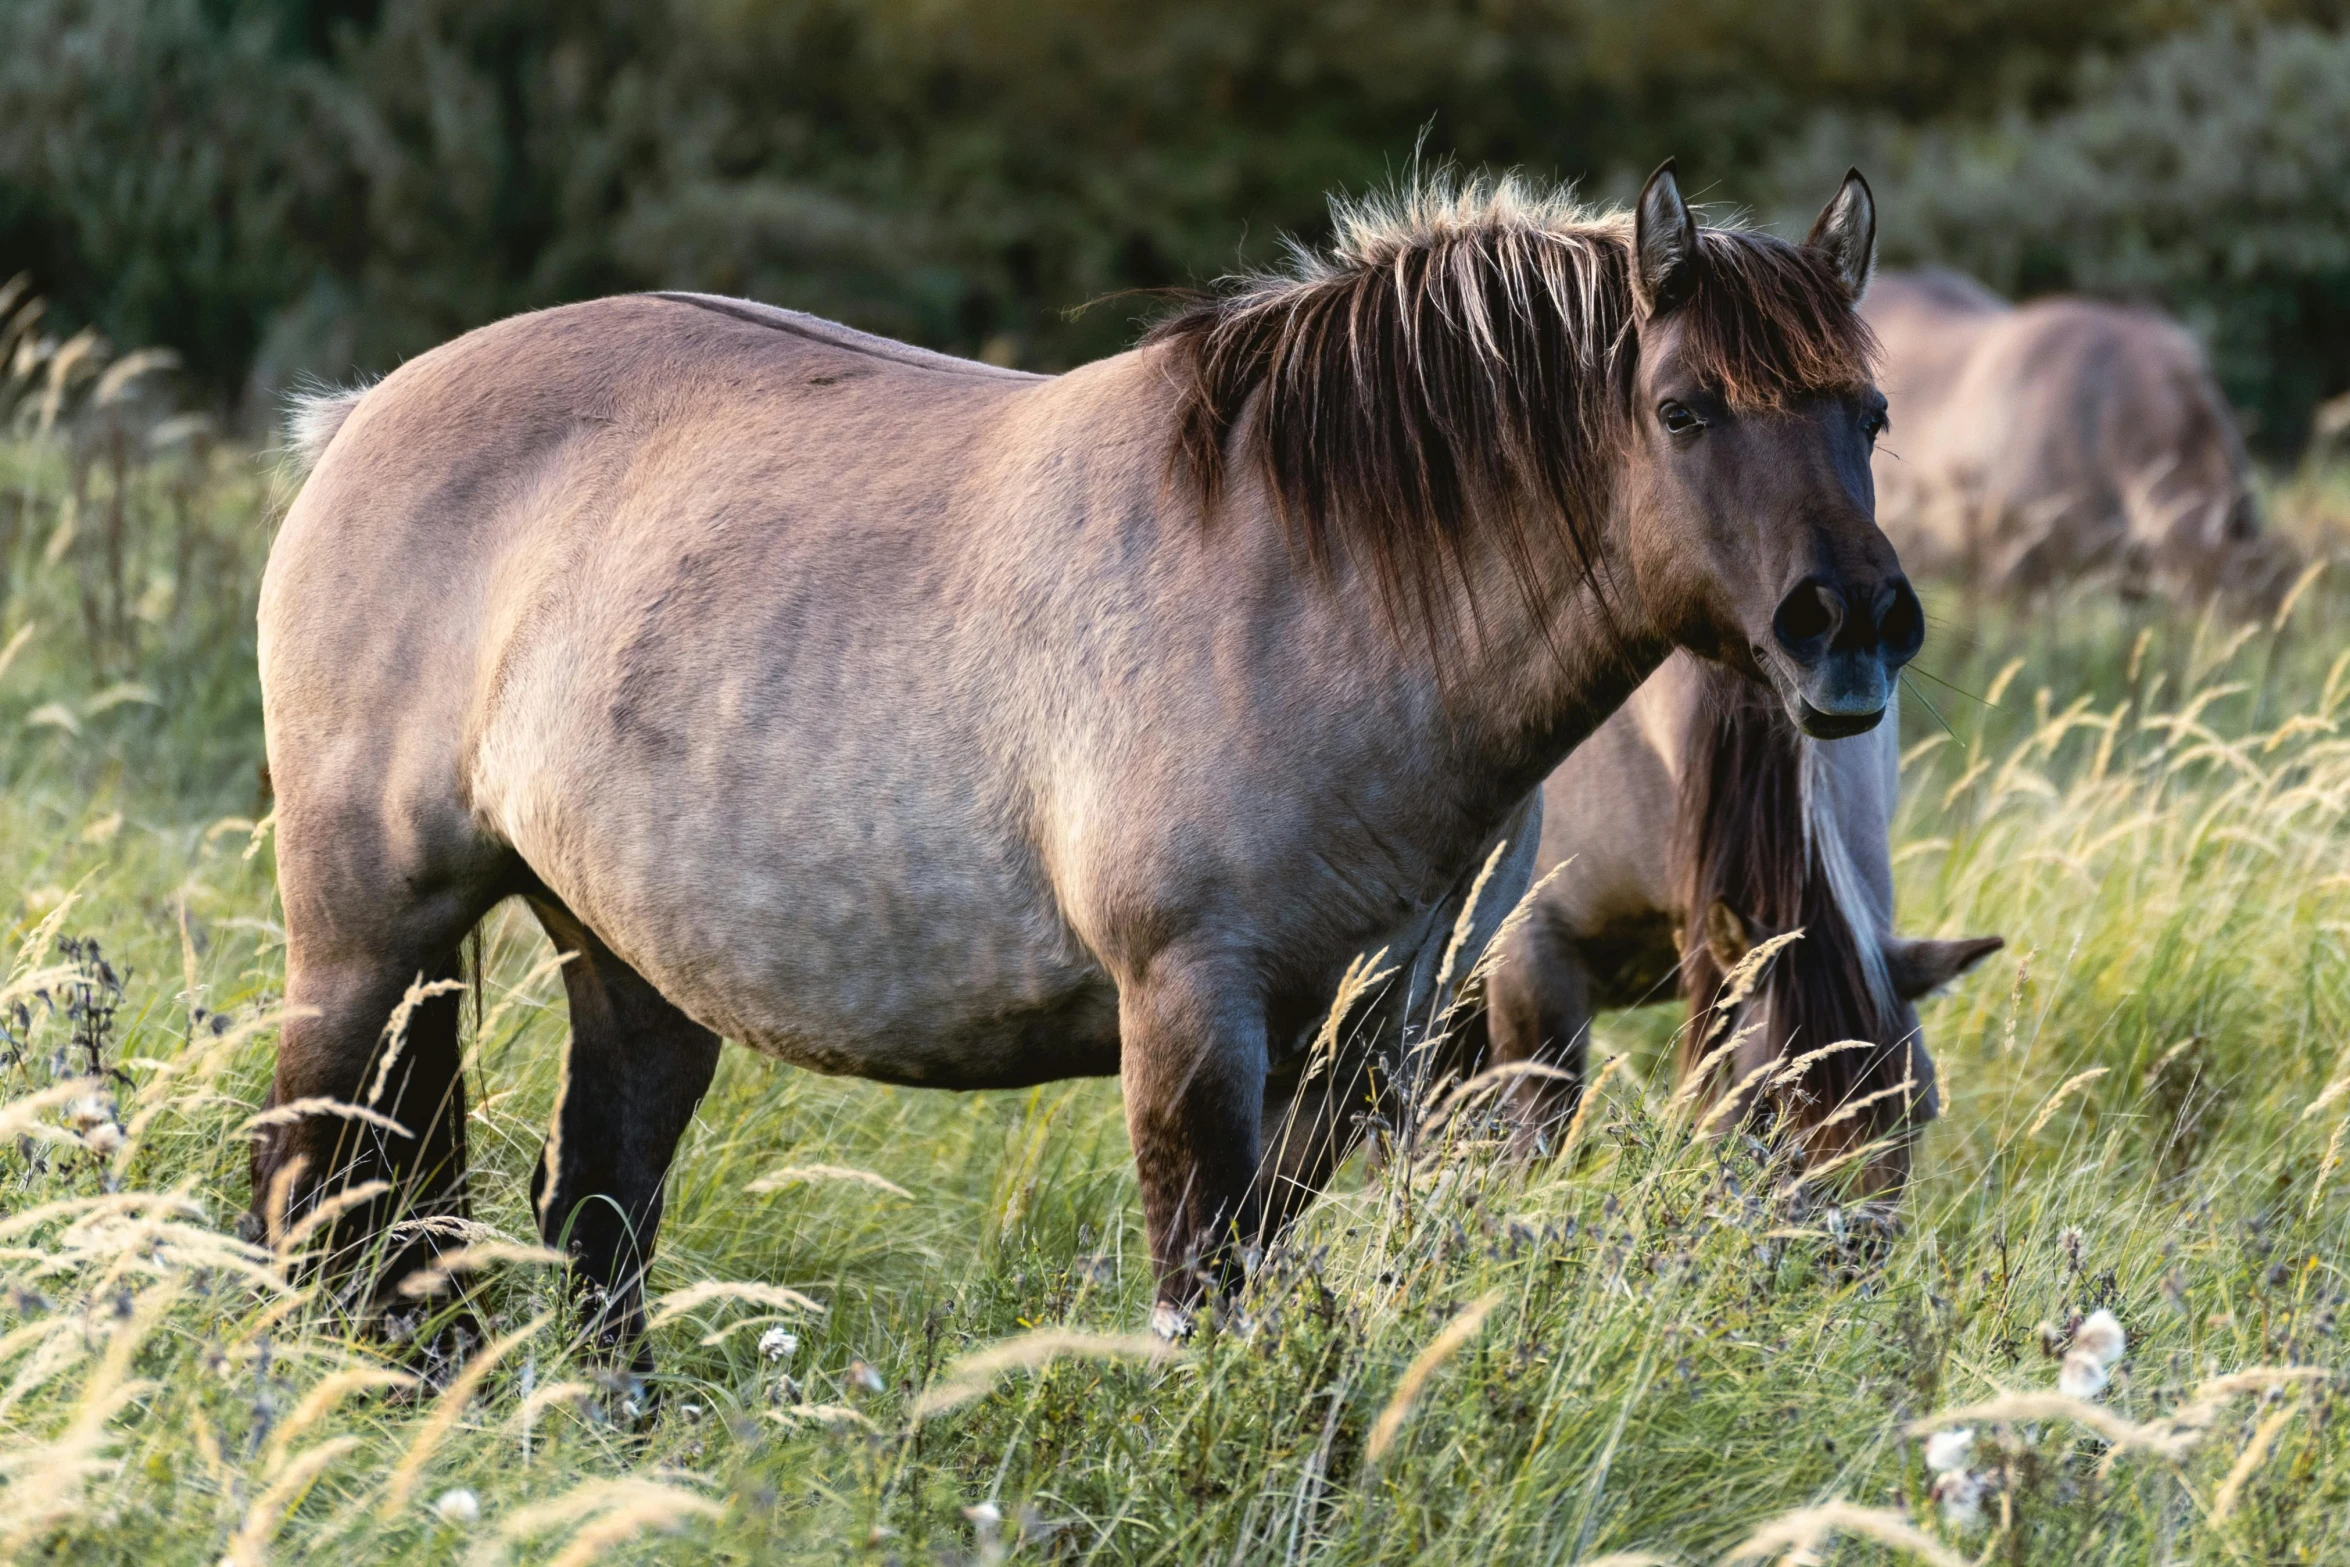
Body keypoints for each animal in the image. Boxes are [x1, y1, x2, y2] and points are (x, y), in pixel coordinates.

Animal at [257, 159, 1917, 1362]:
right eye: (1682, 408)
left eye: (1869, 411)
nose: (1848, 625)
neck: (1311, 578)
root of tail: (360, 416)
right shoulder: (1187, 1005)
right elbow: (1200, 1292)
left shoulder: (1363, 1030)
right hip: (367, 939)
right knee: (315, 1183)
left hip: (627, 960)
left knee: (594, 1214)